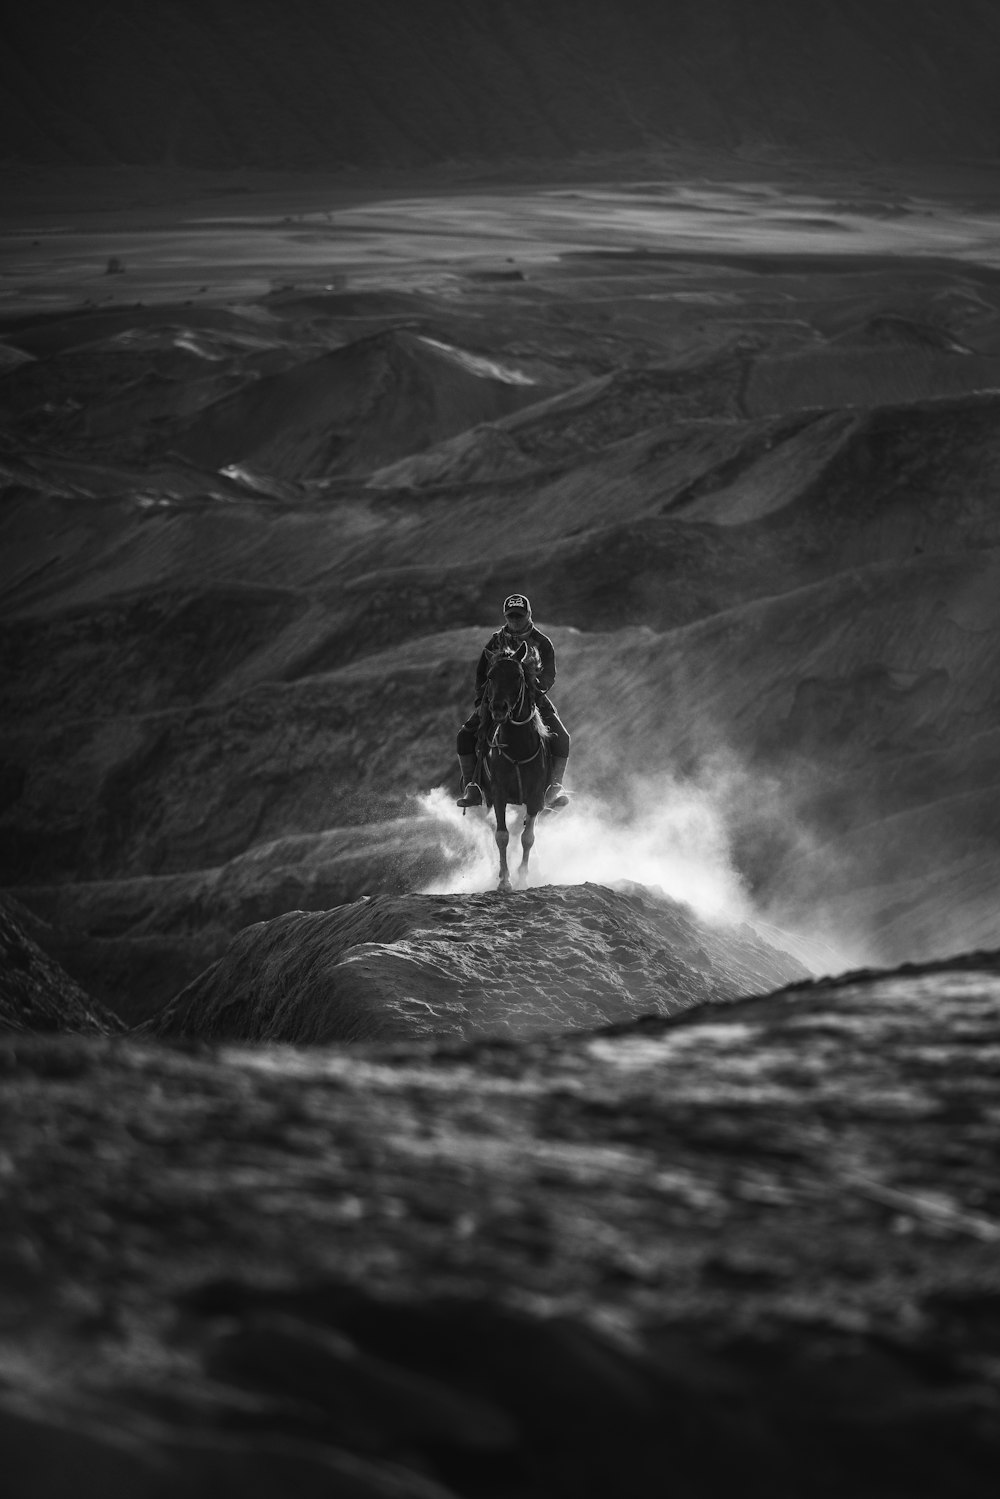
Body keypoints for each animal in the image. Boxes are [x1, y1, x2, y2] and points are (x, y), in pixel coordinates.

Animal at [479, 641, 551, 887]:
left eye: (517, 676)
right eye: (490, 676)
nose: (498, 708)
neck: (518, 747)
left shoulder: (536, 797)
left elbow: (528, 838)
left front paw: (523, 877)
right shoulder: (498, 794)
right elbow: (502, 836)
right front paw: (505, 881)